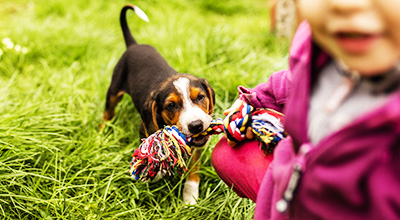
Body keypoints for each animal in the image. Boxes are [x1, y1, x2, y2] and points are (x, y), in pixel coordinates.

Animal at [103, 4, 216, 205]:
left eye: (201, 97)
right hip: (114, 90)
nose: (196, 125)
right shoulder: (145, 128)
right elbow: (154, 154)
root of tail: (134, 45)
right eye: (171, 106)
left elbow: (193, 170)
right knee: (107, 113)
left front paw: (190, 199)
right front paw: (155, 173)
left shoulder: (199, 146)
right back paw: (101, 134)